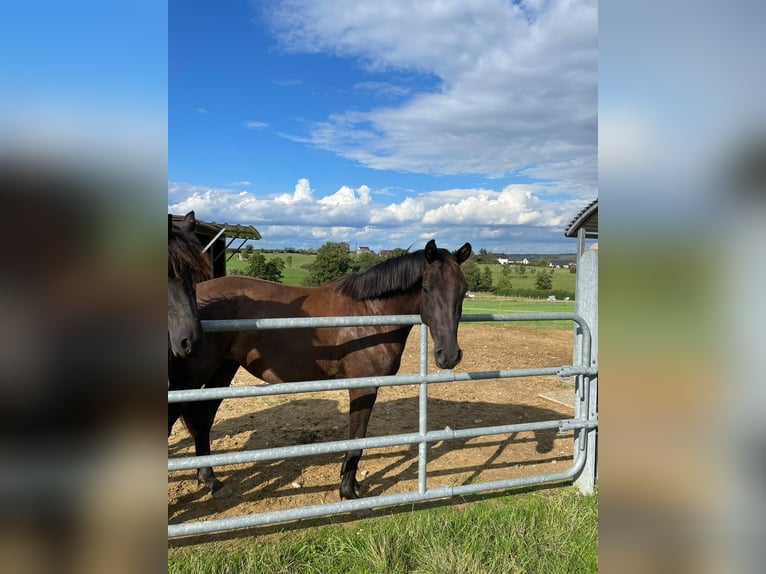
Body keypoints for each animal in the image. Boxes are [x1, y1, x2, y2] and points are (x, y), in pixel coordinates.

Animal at [170, 238, 472, 500]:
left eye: (462, 290)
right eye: (426, 289)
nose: (448, 355)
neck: (370, 314)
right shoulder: (363, 387)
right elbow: (357, 437)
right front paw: (348, 490)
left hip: (223, 370)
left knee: (202, 418)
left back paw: (211, 480)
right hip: (191, 378)